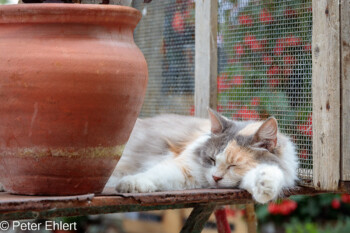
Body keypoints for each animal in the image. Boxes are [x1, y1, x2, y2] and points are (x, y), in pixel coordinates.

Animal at [105, 108, 296, 203]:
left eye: (233, 166)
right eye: (211, 159)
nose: (215, 178)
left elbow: (269, 174)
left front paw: (265, 186)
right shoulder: (185, 169)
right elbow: (152, 175)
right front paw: (129, 185)